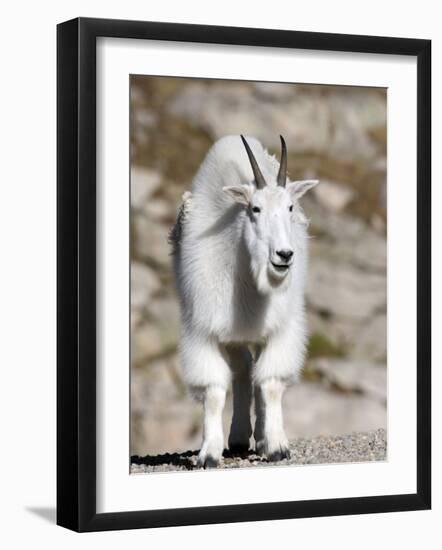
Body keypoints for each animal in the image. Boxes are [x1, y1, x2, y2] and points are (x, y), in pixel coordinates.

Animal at [169, 136, 318, 468]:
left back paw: (261, 438)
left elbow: (271, 383)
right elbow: (213, 391)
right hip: (234, 336)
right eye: (255, 209)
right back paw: (238, 437)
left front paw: (276, 446)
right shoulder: (204, 331)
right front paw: (208, 454)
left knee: (256, 373)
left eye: (290, 207)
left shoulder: (280, 329)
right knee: (243, 369)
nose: (284, 255)